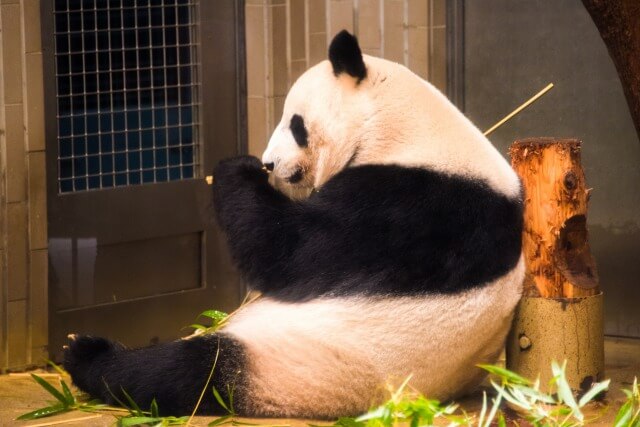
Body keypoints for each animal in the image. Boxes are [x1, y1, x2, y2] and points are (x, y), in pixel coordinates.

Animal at [63, 31, 524, 420]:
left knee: (188, 371)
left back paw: (87, 353)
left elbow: (290, 251)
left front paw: (237, 169)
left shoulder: (413, 205)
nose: (270, 162)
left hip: (295, 365)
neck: (402, 127)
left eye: (296, 124)